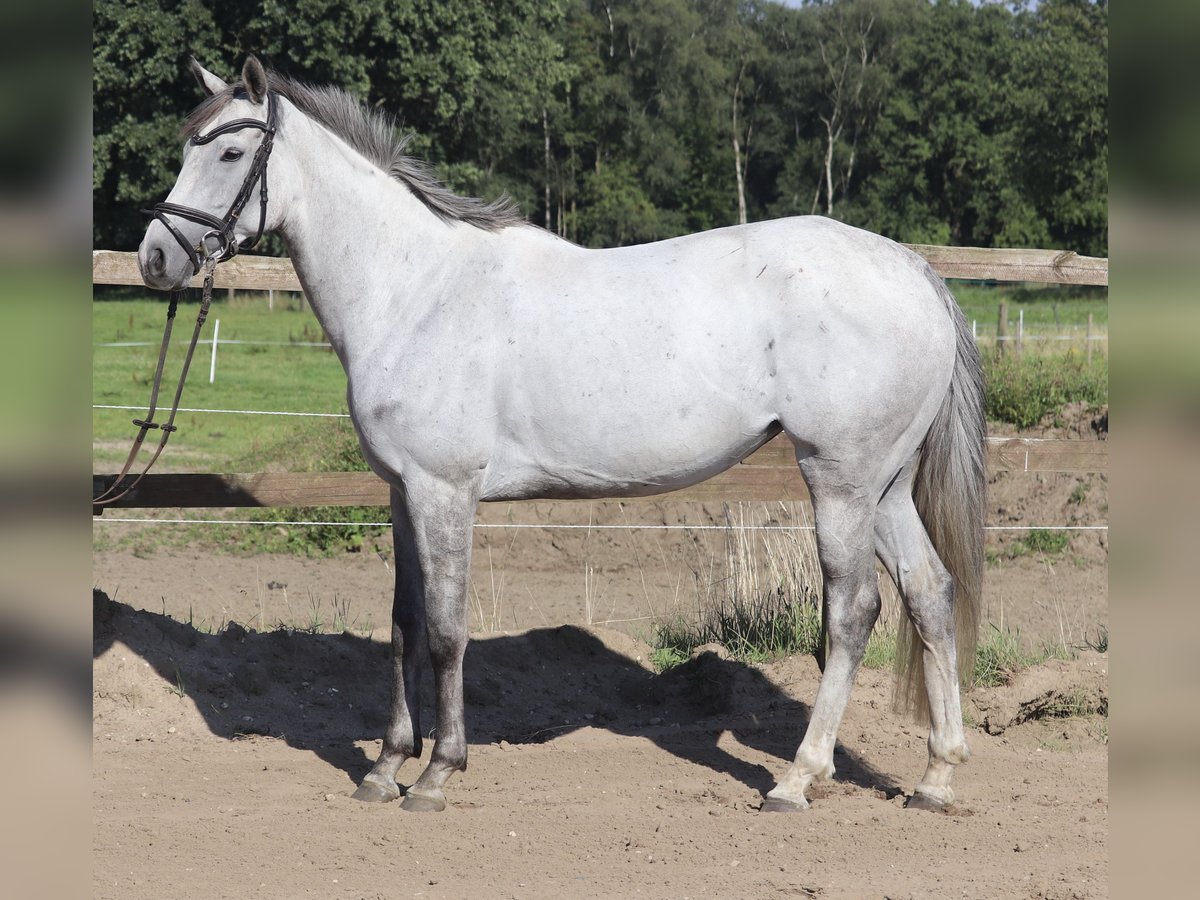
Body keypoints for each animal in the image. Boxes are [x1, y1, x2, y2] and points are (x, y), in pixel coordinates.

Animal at [140, 58, 984, 816]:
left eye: (229, 154)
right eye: (186, 146)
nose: (155, 256)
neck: (416, 289)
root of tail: (913, 270)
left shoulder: (446, 492)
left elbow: (447, 631)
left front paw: (437, 774)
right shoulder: (402, 493)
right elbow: (404, 627)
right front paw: (383, 770)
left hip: (839, 481)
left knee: (854, 612)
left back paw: (797, 780)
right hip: (884, 488)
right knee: (930, 594)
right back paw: (937, 781)